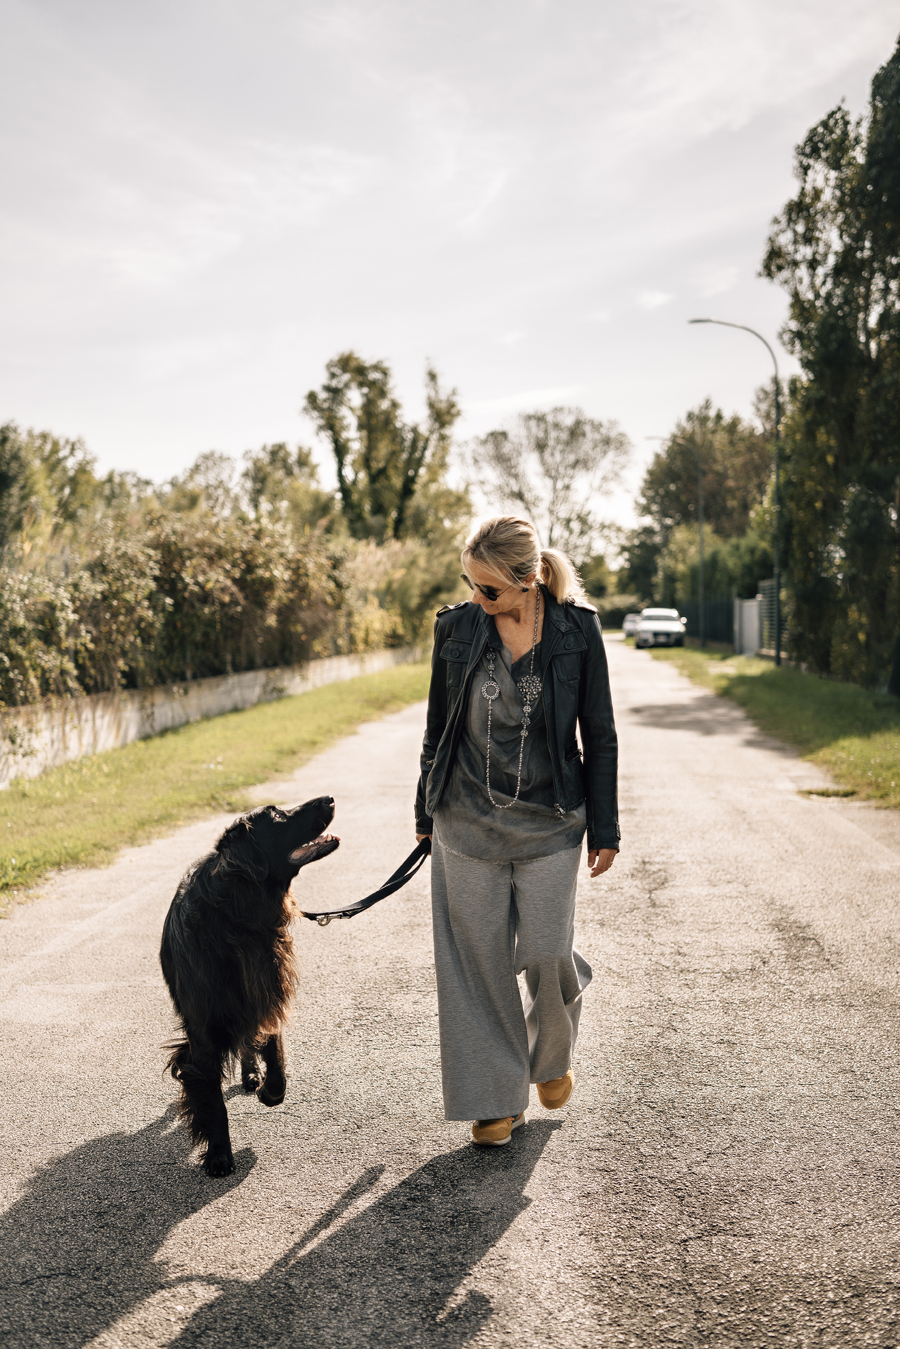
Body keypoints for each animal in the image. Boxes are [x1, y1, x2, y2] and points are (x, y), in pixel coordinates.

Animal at [159, 793, 340, 1176]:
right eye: (277, 816)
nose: (330, 798)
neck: (239, 920)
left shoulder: (267, 995)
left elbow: (276, 1060)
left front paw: (269, 1092)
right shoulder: (203, 1033)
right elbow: (212, 1101)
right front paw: (218, 1154)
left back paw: (252, 1073)